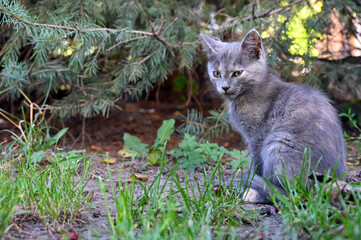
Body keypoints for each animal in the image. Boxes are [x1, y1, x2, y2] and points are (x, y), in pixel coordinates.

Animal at [200, 29, 346, 202]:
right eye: (216, 74)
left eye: (237, 73)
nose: (225, 87)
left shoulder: (257, 136)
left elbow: (256, 162)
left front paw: (253, 177)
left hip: (279, 143)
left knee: (292, 193)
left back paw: (256, 191)